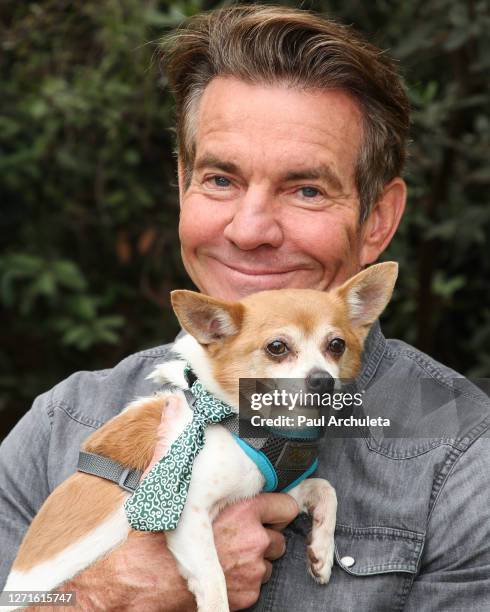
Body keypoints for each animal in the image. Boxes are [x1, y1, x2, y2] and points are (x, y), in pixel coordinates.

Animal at [3, 262, 398, 612]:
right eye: (277, 347)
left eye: (337, 345)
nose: (322, 380)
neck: (239, 418)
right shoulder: (189, 512)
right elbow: (213, 578)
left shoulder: (266, 492)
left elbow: (326, 489)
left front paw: (321, 550)